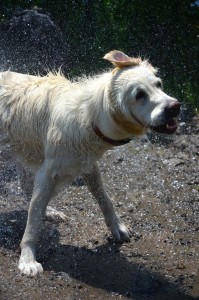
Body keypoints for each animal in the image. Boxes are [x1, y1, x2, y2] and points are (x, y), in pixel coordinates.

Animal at [0, 49, 180, 276]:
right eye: (139, 95)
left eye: (159, 84)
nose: (175, 107)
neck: (88, 115)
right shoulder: (49, 171)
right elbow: (32, 223)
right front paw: (28, 259)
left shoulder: (88, 164)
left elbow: (104, 198)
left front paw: (117, 227)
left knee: (26, 187)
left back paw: (49, 212)